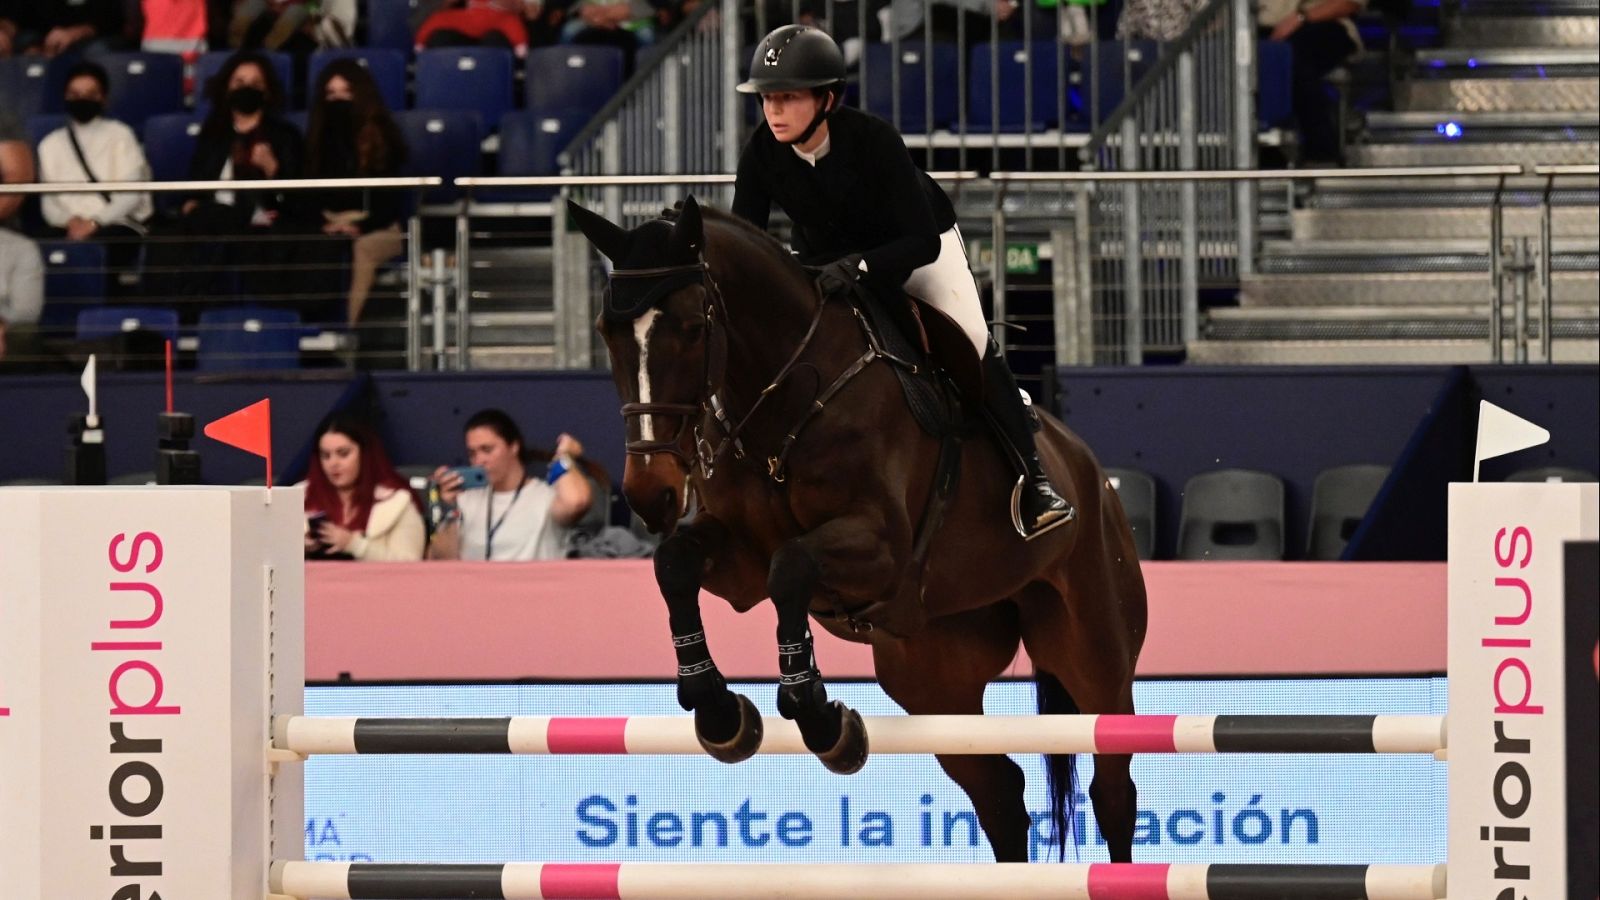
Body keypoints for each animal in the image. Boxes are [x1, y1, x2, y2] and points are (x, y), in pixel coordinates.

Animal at [569, 195, 1148, 863]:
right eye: (607, 332)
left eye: (692, 328)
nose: (650, 492)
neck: (786, 399)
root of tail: (1091, 473)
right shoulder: (740, 561)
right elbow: (677, 565)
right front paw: (717, 712)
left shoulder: (881, 548)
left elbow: (791, 567)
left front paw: (816, 715)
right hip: (933, 680)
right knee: (1001, 793)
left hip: (1095, 650)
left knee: (1112, 787)